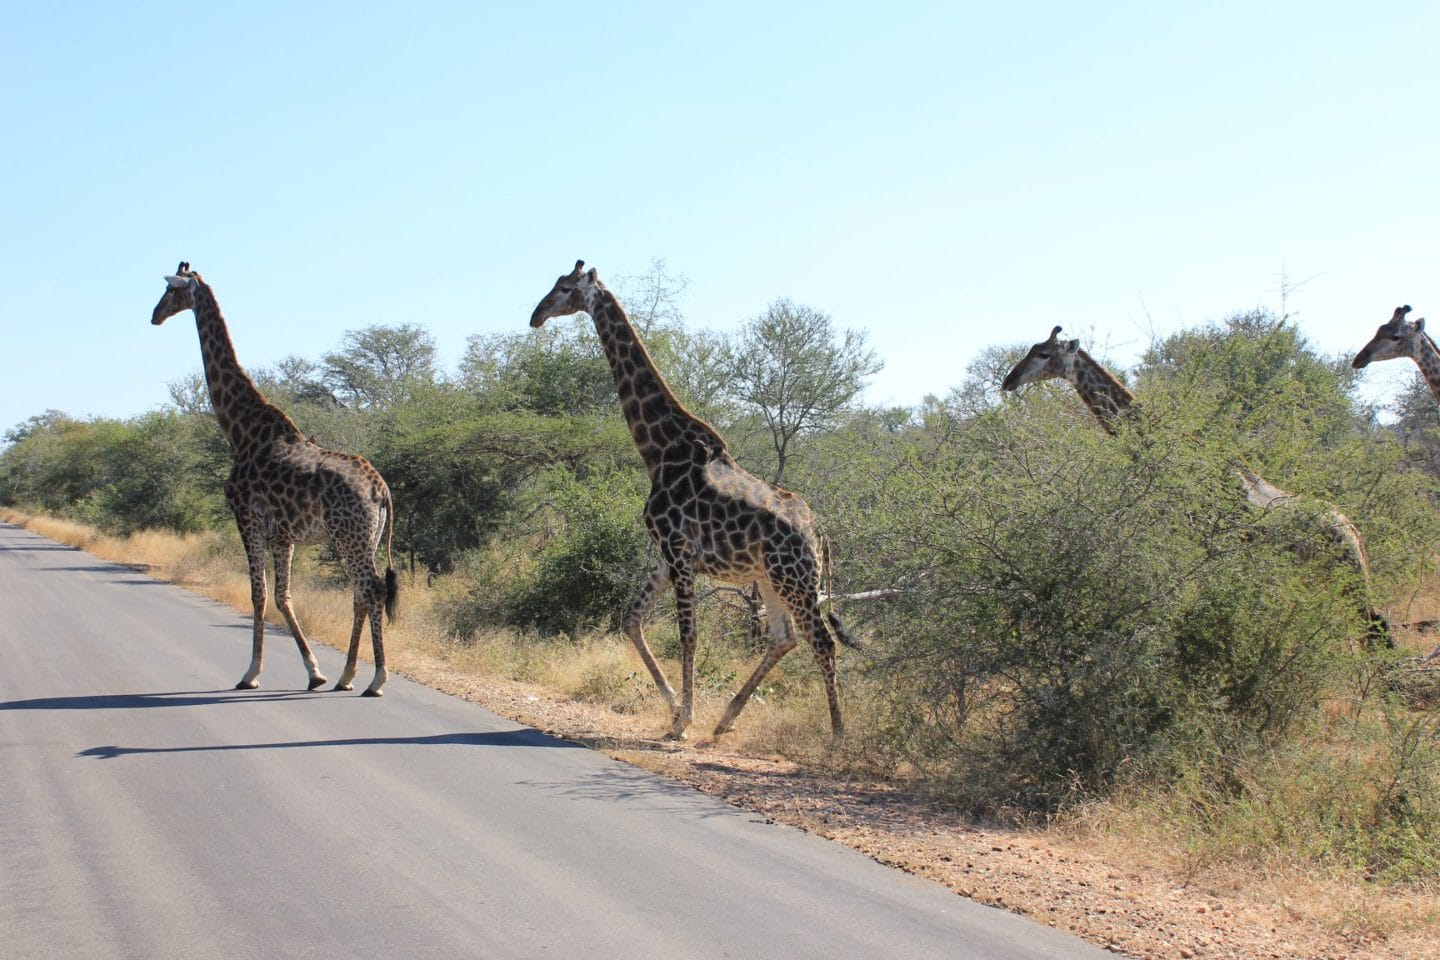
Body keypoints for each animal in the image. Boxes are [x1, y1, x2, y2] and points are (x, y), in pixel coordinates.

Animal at [150, 264, 400, 699]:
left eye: (169, 290)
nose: (154, 315)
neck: (240, 429)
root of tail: (380, 489)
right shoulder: (284, 535)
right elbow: (283, 596)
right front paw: (315, 672)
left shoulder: (246, 518)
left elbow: (259, 593)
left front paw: (251, 672)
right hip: (363, 538)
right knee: (360, 594)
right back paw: (347, 675)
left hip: (349, 537)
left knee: (372, 590)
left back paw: (377, 678)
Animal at [529, 259, 852, 742]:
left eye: (565, 288)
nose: (536, 315)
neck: (659, 451)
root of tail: (818, 533)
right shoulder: (667, 554)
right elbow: (631, 618)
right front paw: (672, 706)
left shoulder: (678, 550)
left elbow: (688, 634)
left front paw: (683, 720)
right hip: (771, 577)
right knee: (785, 637)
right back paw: (726, 719)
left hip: (795, 577)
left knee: (821, 641)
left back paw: (837, 736)